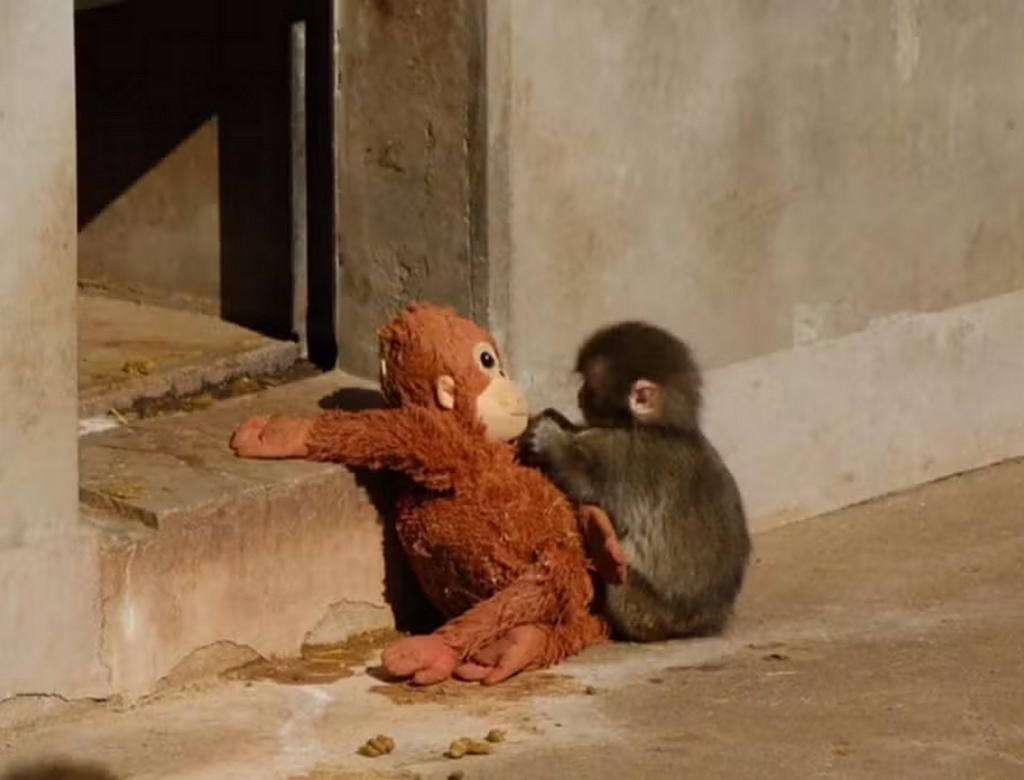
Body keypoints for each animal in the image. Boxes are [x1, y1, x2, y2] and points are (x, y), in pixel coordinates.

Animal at [519, 321, 751, 642]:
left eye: (589, 385)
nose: (579, 394)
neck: (659, 428)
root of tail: (706, 623)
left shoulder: (620, 454)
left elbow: (588, 487)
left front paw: (551, 440)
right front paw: (558, 420)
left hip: (646, 612)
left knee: (619, 582)